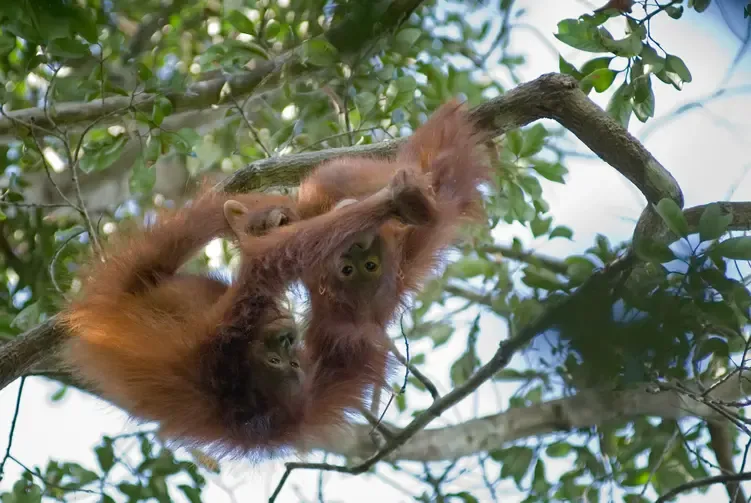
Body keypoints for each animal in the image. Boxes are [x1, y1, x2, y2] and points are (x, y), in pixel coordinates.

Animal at [61, 169, 437, 459]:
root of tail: (98, 311)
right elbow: (267, 265)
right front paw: (391, 201)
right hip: (132, 279)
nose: (287, 339)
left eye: (292, 360)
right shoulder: (224, 339)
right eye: (276, 360)